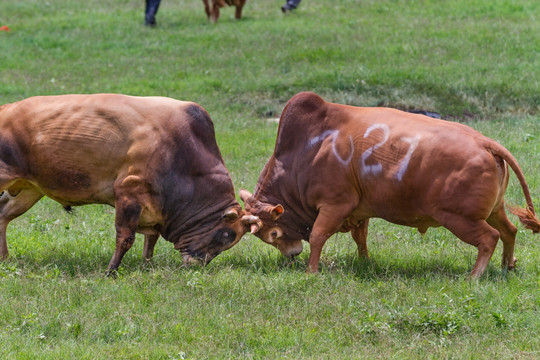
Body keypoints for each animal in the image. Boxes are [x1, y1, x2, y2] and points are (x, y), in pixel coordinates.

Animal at [0, 94, 253, 272]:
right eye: (227, 235)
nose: (198, 264)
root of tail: (6, 109)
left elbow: (150, 240)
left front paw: (147, 265)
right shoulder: (128, 194)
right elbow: (125, 238)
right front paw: (110, 271)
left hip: (28, 190)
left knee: (3, 215)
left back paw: (4, 258)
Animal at [242, 91, 540, 278]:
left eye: (273, 234)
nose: (291, 255)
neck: (304, 152)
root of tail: (485, 142)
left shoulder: (335, 204)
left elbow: (317, 236)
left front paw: (311, 271)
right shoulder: (359, 210)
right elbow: (360, 238)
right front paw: (364, 262)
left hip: (459, 218)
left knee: (489, 238)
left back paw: (474, 276)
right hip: (494, 210)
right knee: (510, 231)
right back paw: (507, 265)